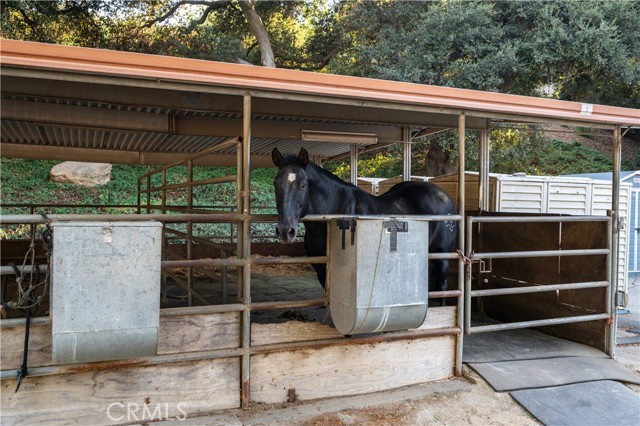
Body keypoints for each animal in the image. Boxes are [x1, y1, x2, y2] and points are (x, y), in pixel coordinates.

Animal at [272, 148, 458, 298]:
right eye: (275, 184)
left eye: (303, 185)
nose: (285, 231)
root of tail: (444, 197)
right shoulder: (322, 269)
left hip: (442, 255)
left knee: (441, 287)